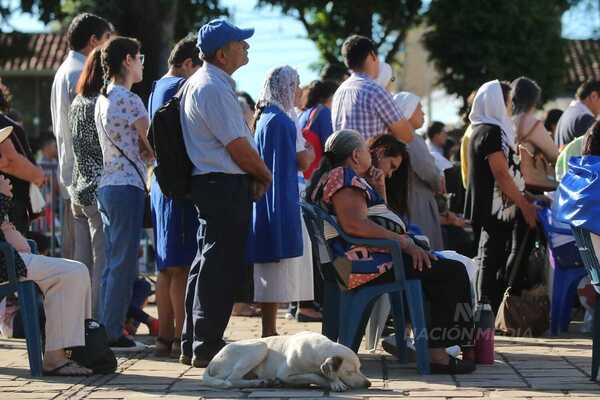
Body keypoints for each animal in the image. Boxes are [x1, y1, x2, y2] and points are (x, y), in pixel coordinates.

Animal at [202, 330, 370, 392]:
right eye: (349, 372)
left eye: (360, 368)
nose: (368, 384)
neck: (318, 346)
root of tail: (212, 362)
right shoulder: (285, 374)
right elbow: (314, 376)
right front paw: (333, 382)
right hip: (260, 347)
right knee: (232, 380)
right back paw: (259, 383)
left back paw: (264, 382)